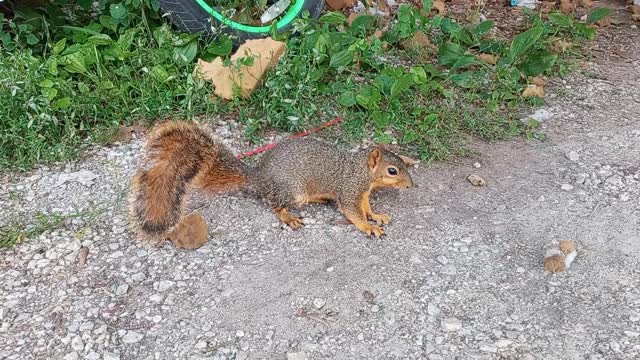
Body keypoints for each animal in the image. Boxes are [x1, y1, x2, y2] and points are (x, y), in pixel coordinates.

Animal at [130, 119, 416, 249]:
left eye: (402, 162)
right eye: (392, 170)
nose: (411, 186)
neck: (360, 171)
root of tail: (259, 176)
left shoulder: (363, 193)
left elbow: (366, 208)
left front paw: (377, 216)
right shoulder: (349, 190)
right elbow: (353, 213)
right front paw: (369, 227)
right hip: (291, 190)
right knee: (274, 204)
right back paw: (288, 217)